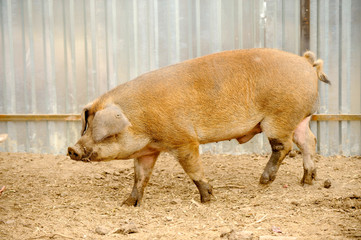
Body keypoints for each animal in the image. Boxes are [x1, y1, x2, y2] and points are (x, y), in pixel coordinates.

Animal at [67, 48, 330, 206]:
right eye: (86, 127)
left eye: (98, 131)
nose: (72, 149)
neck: (140, 120)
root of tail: (306, 63)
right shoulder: (148, 152)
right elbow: (140, 177)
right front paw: (127, 204)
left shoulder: (183, 139)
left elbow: (193, 169)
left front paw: (208, 199)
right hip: (299, 118)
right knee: (309, 140)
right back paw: (307, 181)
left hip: (279, 117)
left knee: (284, 146)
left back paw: (263, 181)